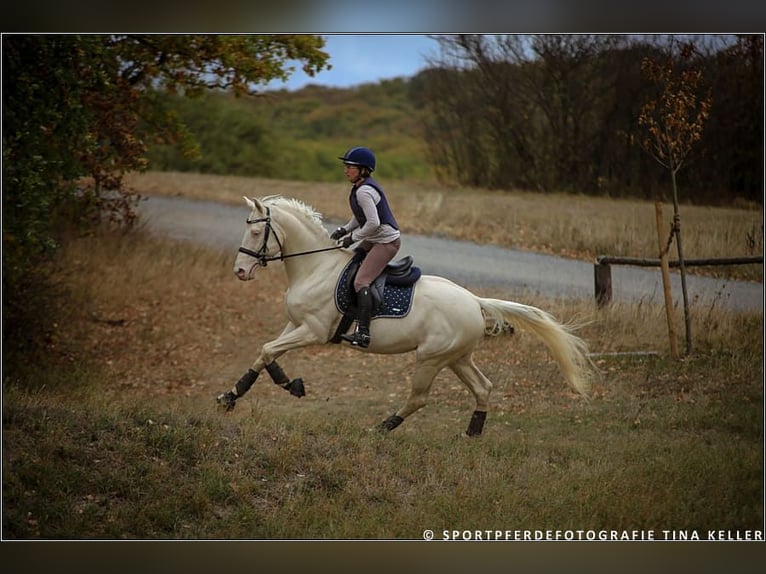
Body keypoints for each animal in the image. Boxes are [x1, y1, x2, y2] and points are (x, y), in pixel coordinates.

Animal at [216, 197, 592, 436]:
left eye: (255, 231)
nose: (240, 271)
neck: (315, 267)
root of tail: (474, 300)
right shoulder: (295, 324)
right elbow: (267, 353)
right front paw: (254, 391)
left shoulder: (313, 331)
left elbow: (267, 349)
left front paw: (250, 393)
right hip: (458, 358)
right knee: (483, 387)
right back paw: (472, 433)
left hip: (431, 358)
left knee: (419, 398)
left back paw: (382, 427)